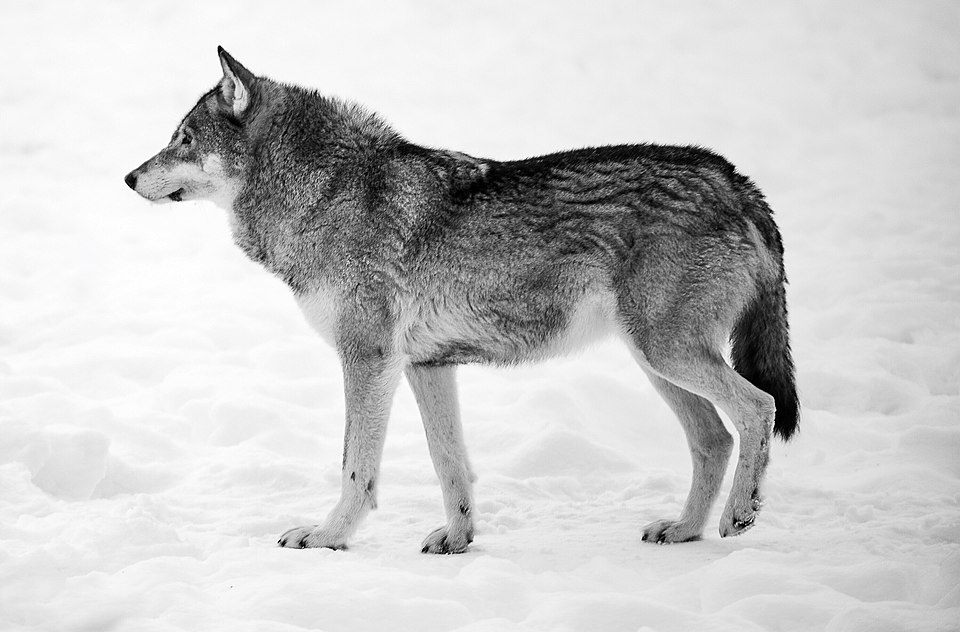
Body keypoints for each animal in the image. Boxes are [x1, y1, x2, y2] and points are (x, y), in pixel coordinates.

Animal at [125, 47, 799, 552]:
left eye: (182, 139)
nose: (129, 177)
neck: (324, 194)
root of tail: (737, 181)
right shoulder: (427, 366)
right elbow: (448, 461)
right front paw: (457, 539)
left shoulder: (367, 360)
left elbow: (355, 467)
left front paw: (328, 537)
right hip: (655, 362)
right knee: (713, 439)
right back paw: (683, 530)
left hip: (666, 353)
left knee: (758, 408)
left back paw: (738, 516)